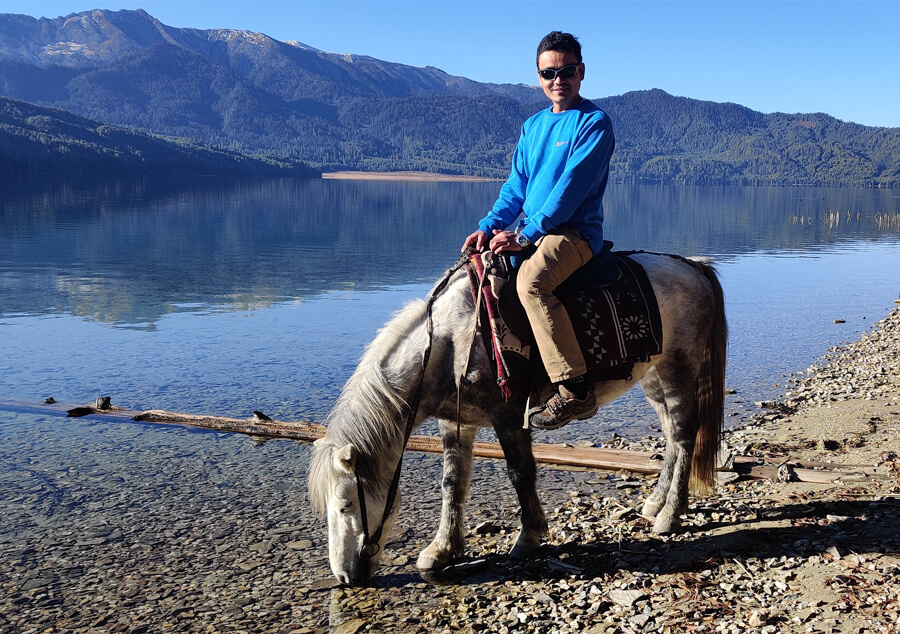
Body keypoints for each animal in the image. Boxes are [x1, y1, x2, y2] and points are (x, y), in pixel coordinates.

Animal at [306, 251, 728, 584]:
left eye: (345, 505)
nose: (344, 577)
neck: (451, 344)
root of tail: (692, 266)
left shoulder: (508, 415)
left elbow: (520, 473)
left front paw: (528, 538)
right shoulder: (456, 424)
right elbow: (452, 484)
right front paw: (442, 550)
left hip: (677, 371)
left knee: (684, 435)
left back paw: (670, 515)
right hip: (652, 377)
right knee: (671, 437)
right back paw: (656, 503)